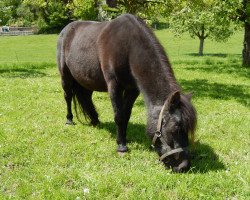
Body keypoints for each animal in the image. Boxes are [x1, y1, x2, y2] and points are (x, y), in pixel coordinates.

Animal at [57, 14, 197, 173]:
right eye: (176, 128)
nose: (184, 166)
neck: (128, 47)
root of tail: (66, 30)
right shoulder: (114, 86)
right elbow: (119, 116)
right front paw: (121, 146)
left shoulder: (132, 89)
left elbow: (126, 115)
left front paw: (124, 138)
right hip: (65, 77)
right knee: (68, 97)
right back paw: (69, 120)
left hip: (86, 80)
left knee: (86, 98)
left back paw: (95, 120)